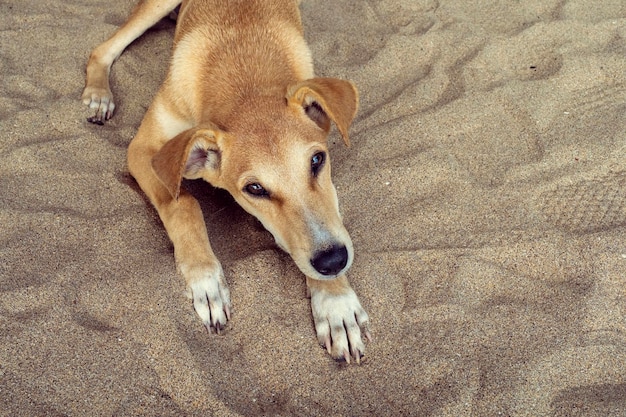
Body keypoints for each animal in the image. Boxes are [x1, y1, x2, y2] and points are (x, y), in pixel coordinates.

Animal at [80, 0, 368, 362]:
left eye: (317, 161)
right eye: (254, 189)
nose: (333, 262)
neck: (244, 78)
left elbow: (331, 217)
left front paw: (335, 304)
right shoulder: (144, 149)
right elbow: (183, 203)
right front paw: (206, 279)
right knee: (102, 49)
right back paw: (98, 95)